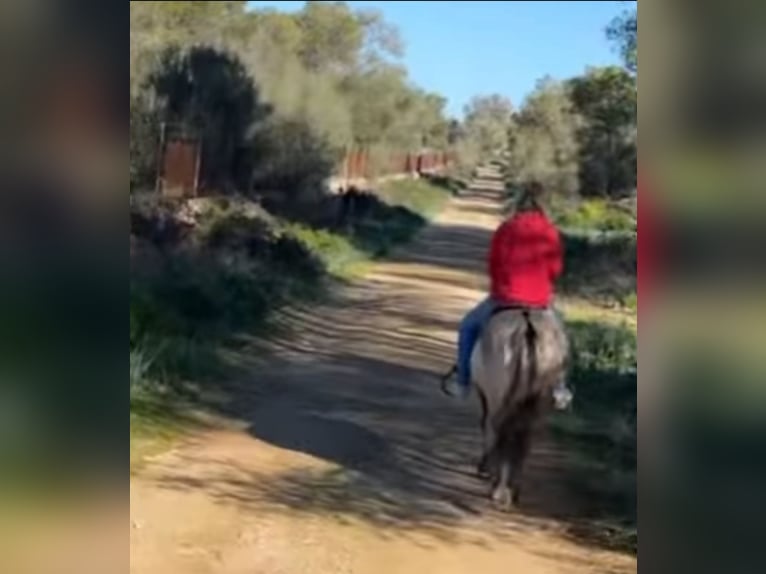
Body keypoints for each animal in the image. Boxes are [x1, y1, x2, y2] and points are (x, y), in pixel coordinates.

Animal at [474, 308, 568, 510]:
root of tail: (527, 328)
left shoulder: (486, 396)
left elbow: (486, 426)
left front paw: (485, 468)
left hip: (500, 399)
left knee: (500, 433)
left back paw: (499, 490)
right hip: (537, 404)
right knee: (523, 440)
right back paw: (513, 491)